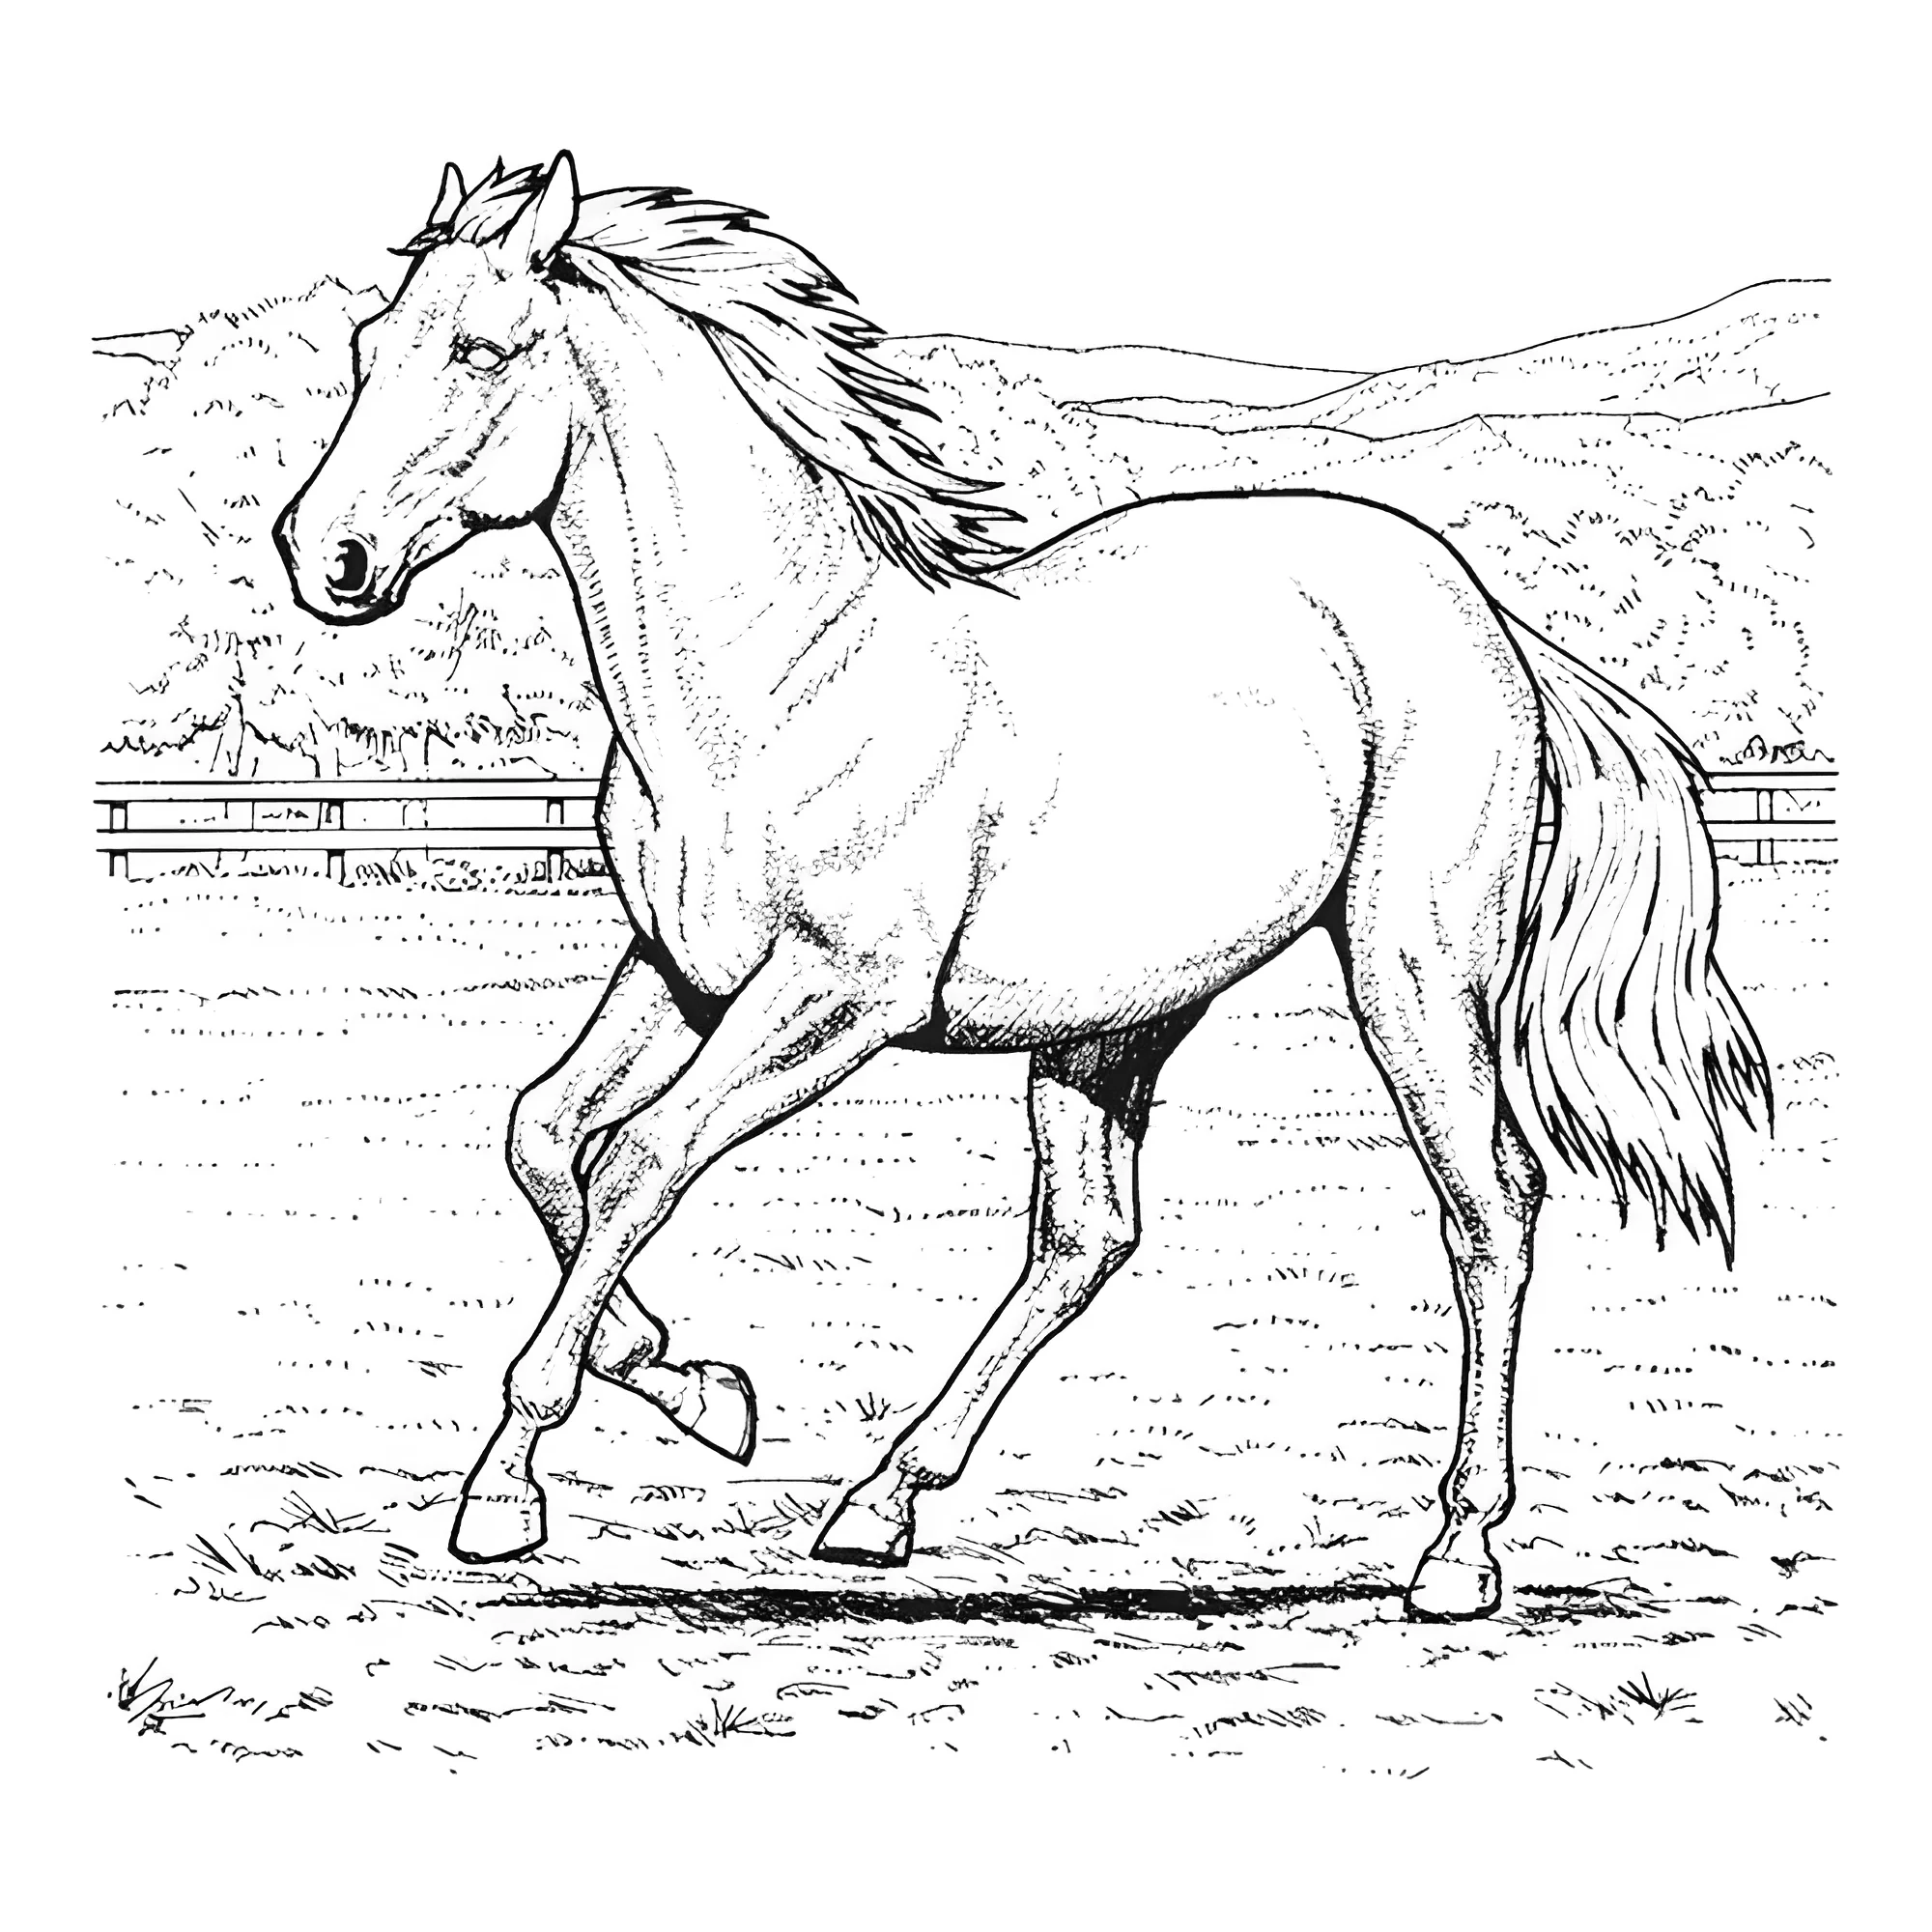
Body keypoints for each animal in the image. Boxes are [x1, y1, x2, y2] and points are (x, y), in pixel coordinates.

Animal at [274, 154, 1768, 1621]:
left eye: (481, 348)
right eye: (366, 346)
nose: (321, 557)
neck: (779, 679)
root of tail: (1485, 614)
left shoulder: (835, 998)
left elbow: (639, 1158)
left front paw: (507, 1489)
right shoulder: (681, 973)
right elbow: (541, 1134)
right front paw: (698, 1387)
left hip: (1411, 969)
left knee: (1488, 1206)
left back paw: (1455, 1554)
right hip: (1113, 1021)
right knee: (1086, 1236)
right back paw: (878, 1505)